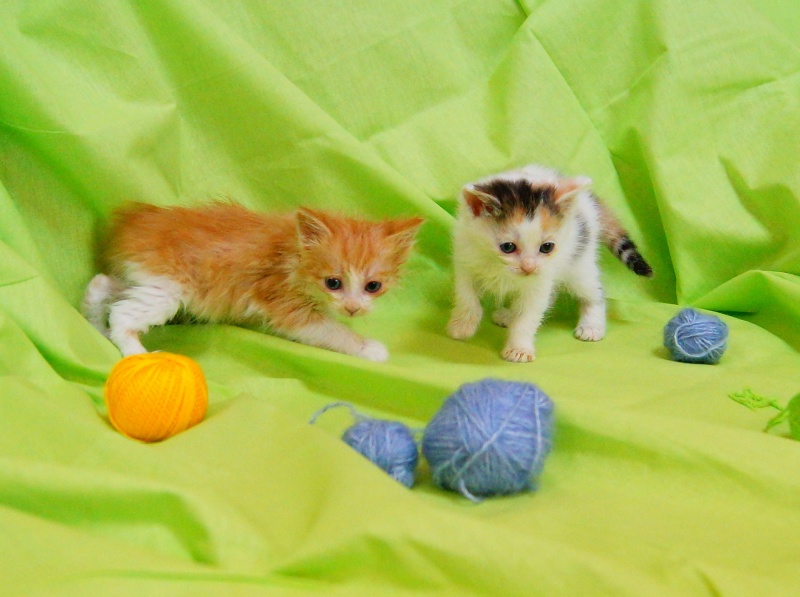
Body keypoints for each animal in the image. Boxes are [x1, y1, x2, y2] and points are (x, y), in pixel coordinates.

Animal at [83, 201, 423, 362]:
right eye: (333, 283)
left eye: (373, 286)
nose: (353, 308)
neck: (293, 251)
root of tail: (133, 222)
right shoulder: (283, 302)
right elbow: (332, 331)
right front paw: (367, 348)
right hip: (170, 288)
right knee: (123, 313)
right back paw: (134, 352)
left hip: (149, 280)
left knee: (101, 284)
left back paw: (97, 328)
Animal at [447, 164, 652, 363]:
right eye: (507, 247)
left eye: (546, 247)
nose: (528, 267)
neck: (500, 269)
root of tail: (586, 200)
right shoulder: (464, 259)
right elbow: (466, 296)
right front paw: (462, 325)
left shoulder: (542, 276)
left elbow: (529, 315)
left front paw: (519, 349)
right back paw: (509, 315)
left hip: (579, 263)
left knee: (594, 292)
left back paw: (592, 325)